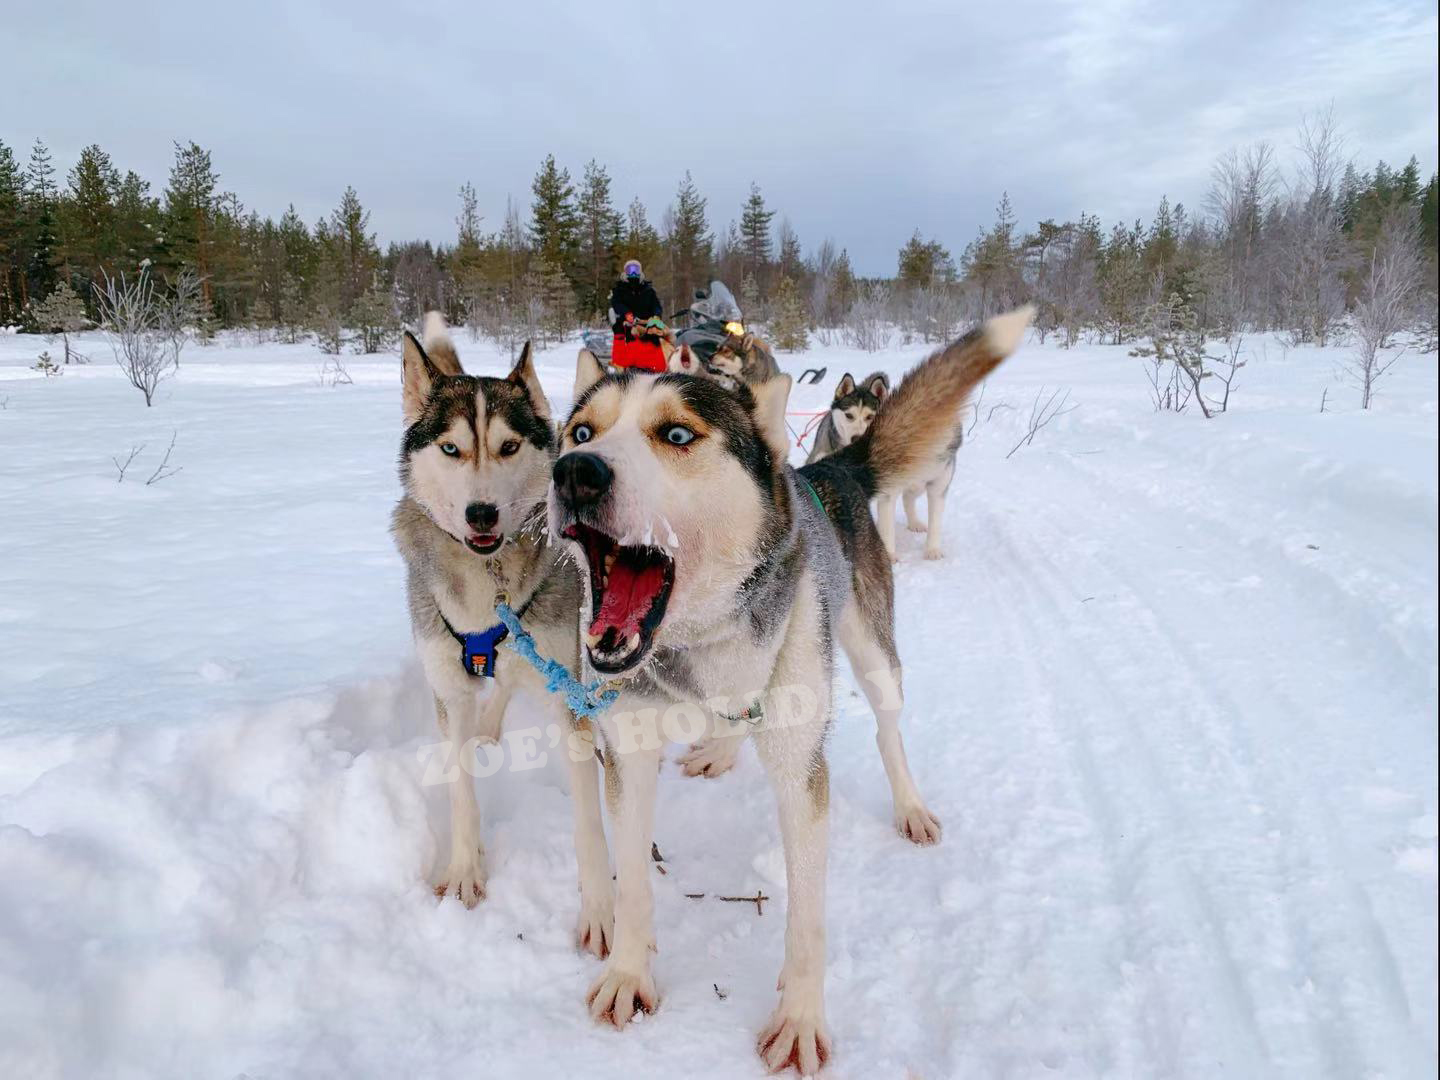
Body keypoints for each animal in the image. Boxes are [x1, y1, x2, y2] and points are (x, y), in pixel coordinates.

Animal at [394, 316, 613, 961]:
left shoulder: (567, 692)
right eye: (451, 449)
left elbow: (588, 825)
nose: (482, 513)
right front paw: (465, 869)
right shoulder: (449, 688)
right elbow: (461, 791)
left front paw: (600, 911)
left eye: (510, 447)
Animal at [544, 305, 1031, 1077]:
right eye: (582, 432)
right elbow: (633, 885)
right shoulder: (629, 755)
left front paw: (799, 1019)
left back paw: (910, 806)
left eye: (676, 434)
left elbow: (806, 920)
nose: (575, 472)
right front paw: (627, 974)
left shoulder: (803, 775)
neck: (701, 647)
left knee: (889, 730)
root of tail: (829, 467)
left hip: (873, 656)